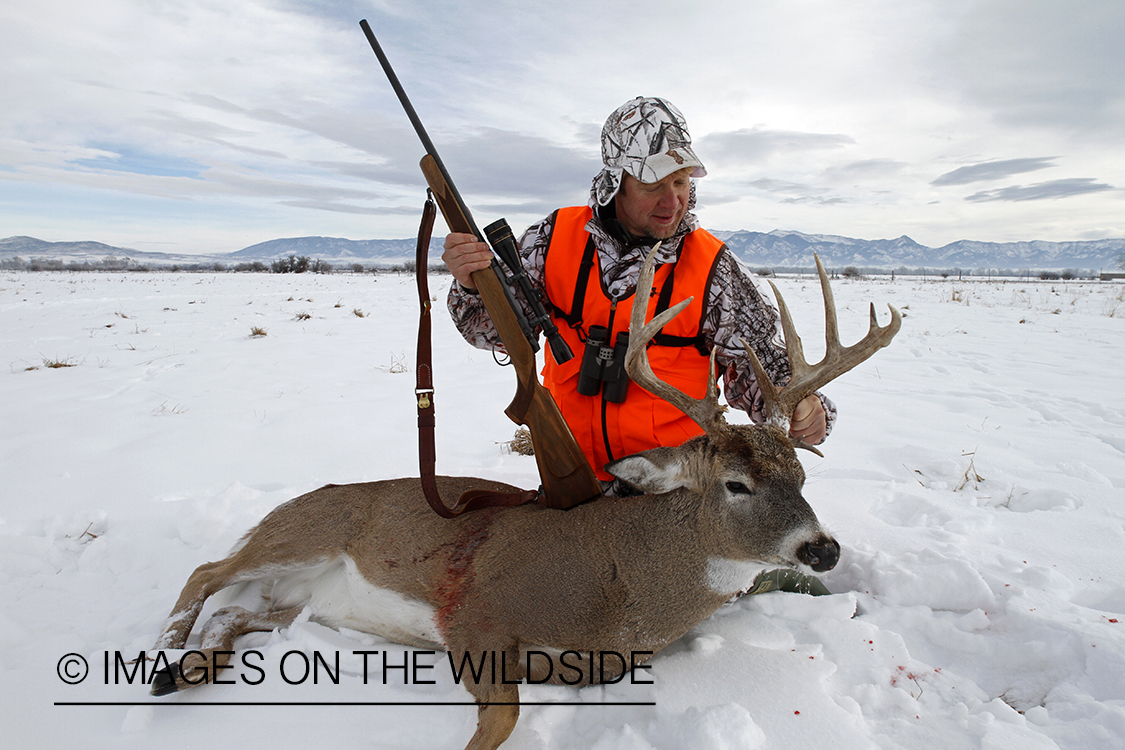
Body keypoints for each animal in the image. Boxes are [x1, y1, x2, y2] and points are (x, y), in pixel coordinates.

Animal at [148, 251, 900, 750]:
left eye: (801, 478)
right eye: (736, 485)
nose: (822, 549)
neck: (624, 588)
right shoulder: (476, 612)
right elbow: (502, 719)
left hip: (299, 599)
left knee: (238, 614)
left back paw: (190, 669)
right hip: (303, 532)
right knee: (206, 572)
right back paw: (161, 664)